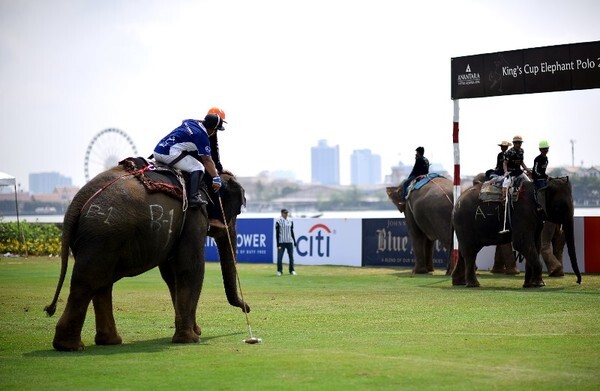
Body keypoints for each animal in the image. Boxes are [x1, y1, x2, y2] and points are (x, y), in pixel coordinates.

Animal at [43, 162, 246, 352]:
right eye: (237, 211)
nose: (248, 308)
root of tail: (77, 202)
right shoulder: (194, 215)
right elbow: (190, 267)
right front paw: (190, 339)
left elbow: (171, 275)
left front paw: (193, 332)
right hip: (102, 234)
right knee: (87, 282)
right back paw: (70, 346)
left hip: (99, 239)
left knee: (101, 283)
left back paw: (109, 341)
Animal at [452, 177, 584, 288]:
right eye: (559, 207)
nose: (578, 282)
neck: (537, 186)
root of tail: (456, 202)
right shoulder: (522, 214)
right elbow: (522, 243)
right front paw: (540, 284)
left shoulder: (536, 218)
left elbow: (535, 244)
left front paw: (529, 285)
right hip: (464, 223)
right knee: (470, 252)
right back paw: (473, 284)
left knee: (463, 251)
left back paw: (459, 283)